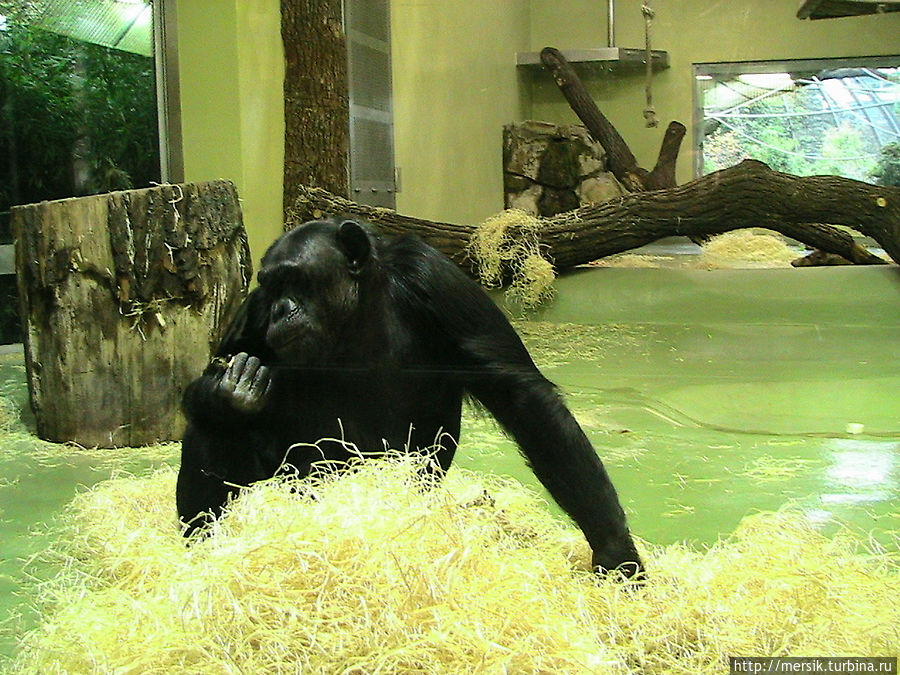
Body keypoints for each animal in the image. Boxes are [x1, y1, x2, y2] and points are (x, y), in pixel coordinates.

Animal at [174, 219, 640, 580]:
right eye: (271, 286)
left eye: (294, 278)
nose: (280, 308)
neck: (354, 310)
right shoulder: (252, 313)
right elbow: (212, 376)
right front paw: (231, 390)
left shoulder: (435, 278)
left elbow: (522, 397)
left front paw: (616, 552)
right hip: (294, 484)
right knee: (213, 431)